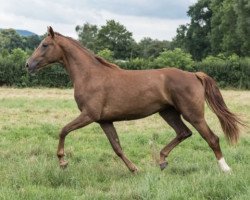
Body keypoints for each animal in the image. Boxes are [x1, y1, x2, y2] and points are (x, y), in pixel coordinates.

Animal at [25, 27, 242, 173]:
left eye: (44, 45)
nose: (28, 65)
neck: (90, 75)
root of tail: (194, 75)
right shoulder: (104, 120)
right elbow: (117, 147)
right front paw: (134, 169)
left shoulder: (89, 115)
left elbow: (63, 130)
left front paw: (63, 161)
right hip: (168, 112)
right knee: (184, 133)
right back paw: (162, 160)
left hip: (193, 114)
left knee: (211, 138)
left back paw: (225, 169)